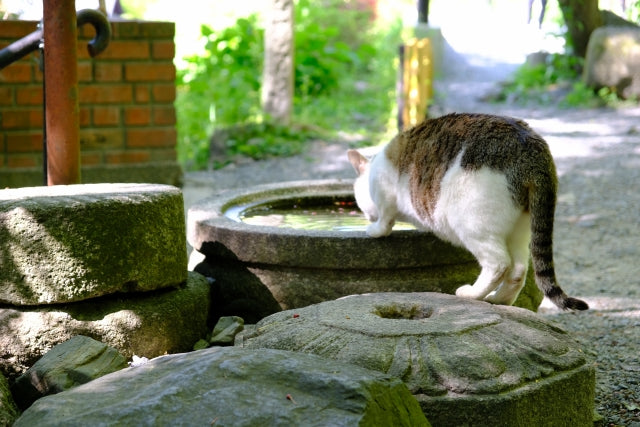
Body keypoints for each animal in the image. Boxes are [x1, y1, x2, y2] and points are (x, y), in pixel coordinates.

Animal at [350, 112, 592, 310]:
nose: (366, 216)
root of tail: (531, 150)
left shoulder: (384, 193)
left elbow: (385, 219)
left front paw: (374, 229)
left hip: (472, 223)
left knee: (499, 264)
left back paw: (472, 294)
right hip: (521, 228)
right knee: (519, 270)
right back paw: (500, 300)